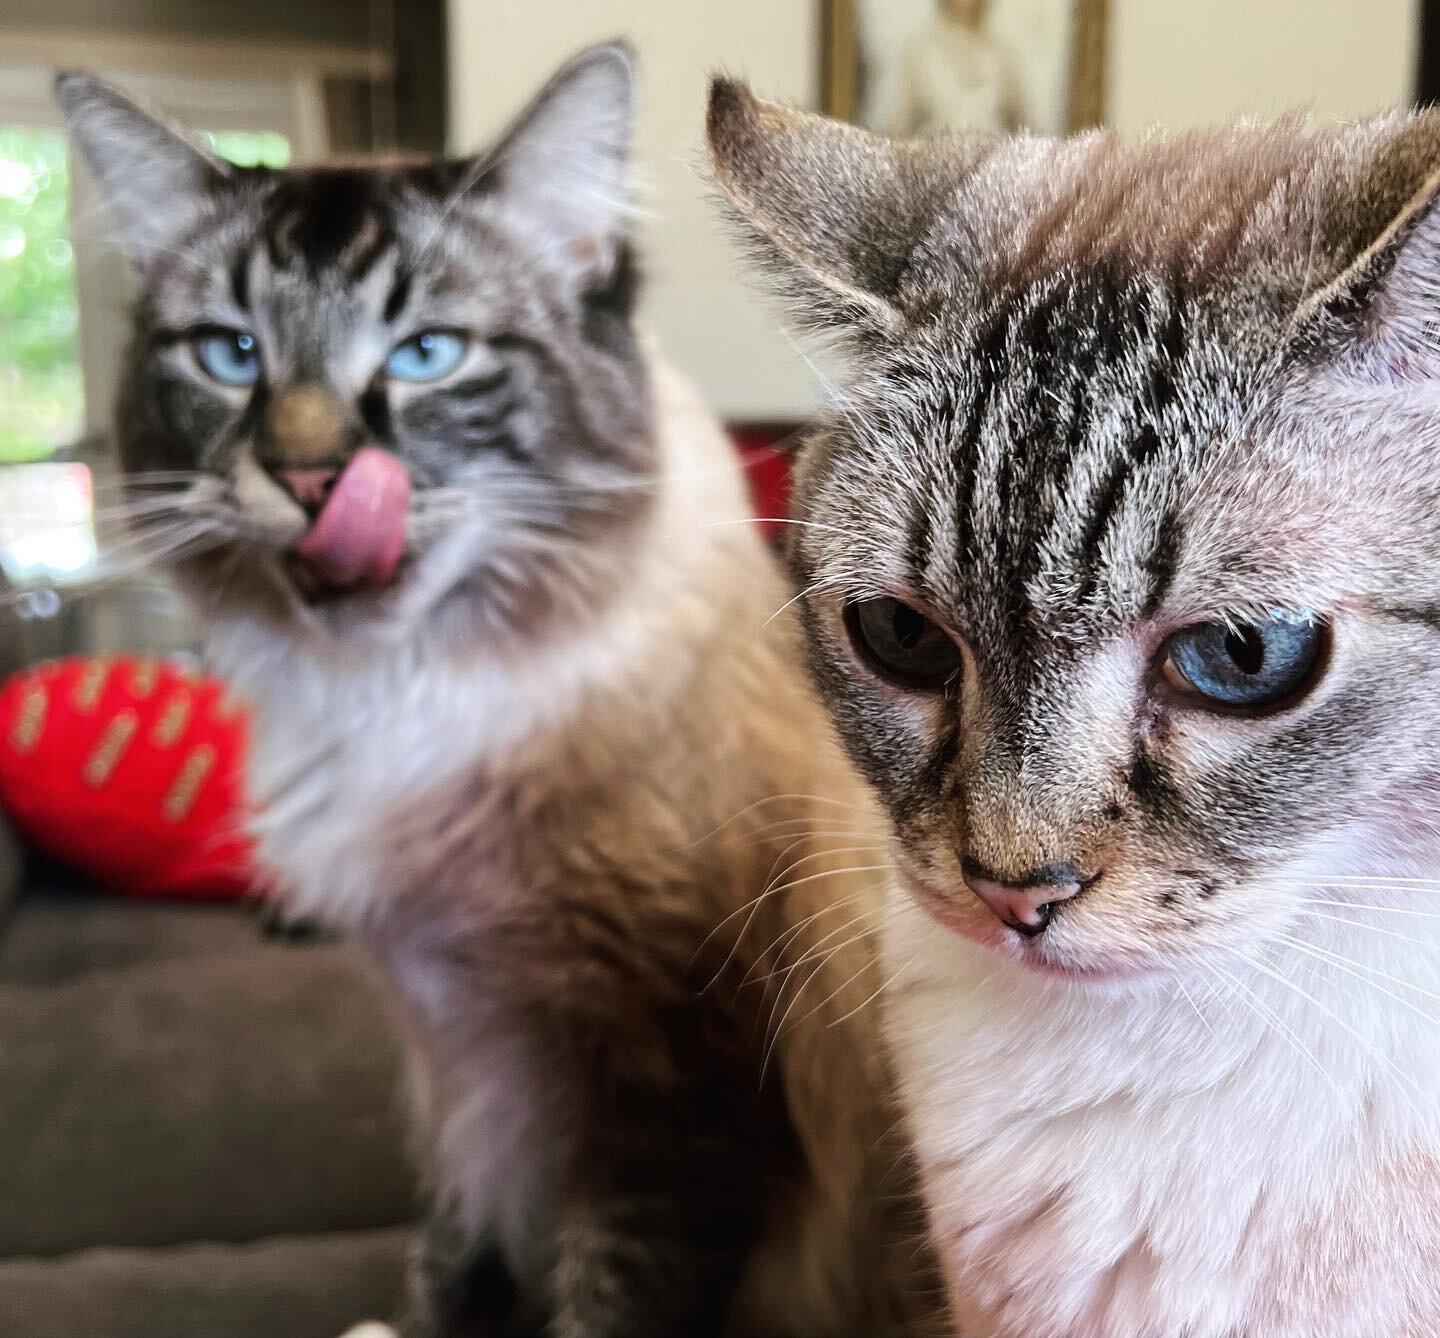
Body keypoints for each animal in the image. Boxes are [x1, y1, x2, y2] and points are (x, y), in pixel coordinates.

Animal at [56, 46, 938, 1336]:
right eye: (230, 355)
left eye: (428, 355)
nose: (309, 478)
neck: (396, 698)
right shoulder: (457, 1065)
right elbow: (454, 1258)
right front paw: (418, 1325)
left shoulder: (665, 1104)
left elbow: (605, 1299)